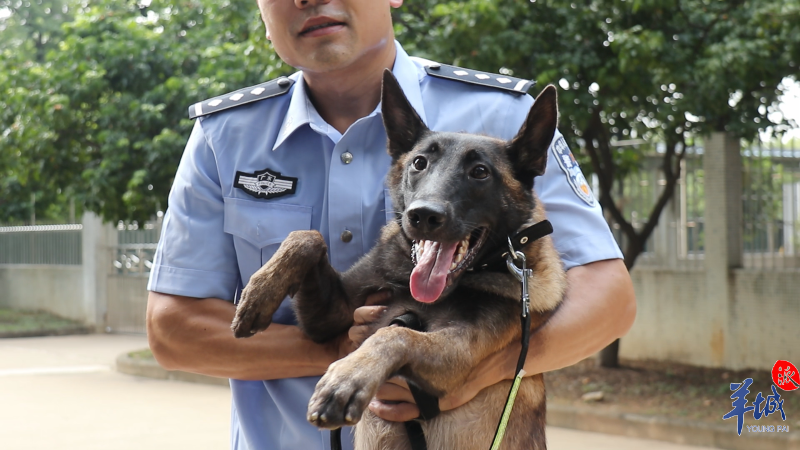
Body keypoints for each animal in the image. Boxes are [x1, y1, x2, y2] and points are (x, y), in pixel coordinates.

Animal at [231, 70, 564, 450]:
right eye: (419, 163)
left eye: (480, 172)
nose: (423, 215)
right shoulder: (329, 318)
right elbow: (307, 237)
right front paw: (258, 293)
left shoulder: (458, 355)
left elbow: (395, 335)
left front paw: (346, 379)